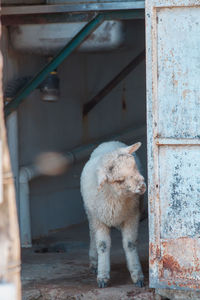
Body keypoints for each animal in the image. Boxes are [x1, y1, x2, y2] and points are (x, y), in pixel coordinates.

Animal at [80, 141, 146, 288]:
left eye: (134, 166)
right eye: (119, 180)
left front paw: (137, 274)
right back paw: (94, 262)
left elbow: (130, 244)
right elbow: (103, 246)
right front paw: (102, 276)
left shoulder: (132, 216)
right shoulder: (99, 220)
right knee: (92, 235)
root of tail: (108, 143)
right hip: (90, 214)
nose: (142, 186)